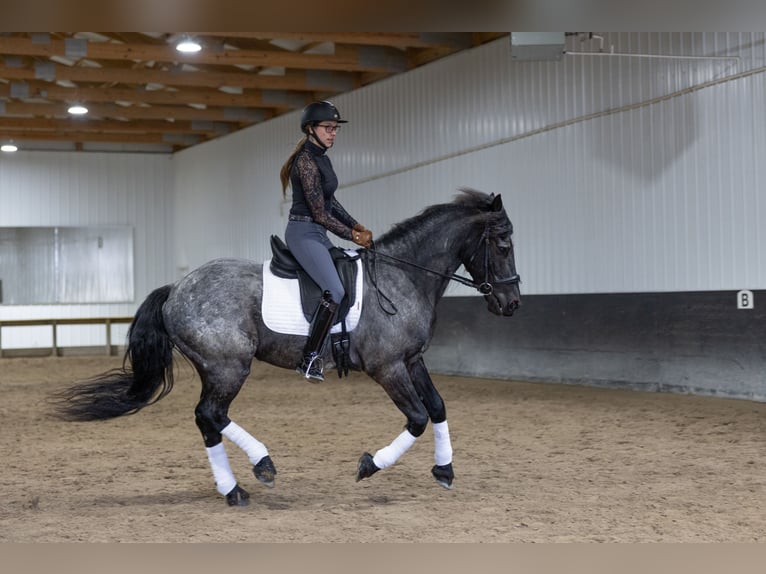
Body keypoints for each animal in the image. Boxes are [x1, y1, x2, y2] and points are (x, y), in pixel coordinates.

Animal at [55, 188, 521, 506]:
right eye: (503, 245)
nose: (512, 303)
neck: (401, 277)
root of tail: (176, 289)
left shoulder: (412, 359)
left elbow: (438, 407)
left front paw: (444, 469)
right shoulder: (387, 366)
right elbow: (418, 417)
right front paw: (370, 465)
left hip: (215, 368)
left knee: (207, 420)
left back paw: (233, 490)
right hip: (229, 366)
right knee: (212, 414)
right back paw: (261, 467)